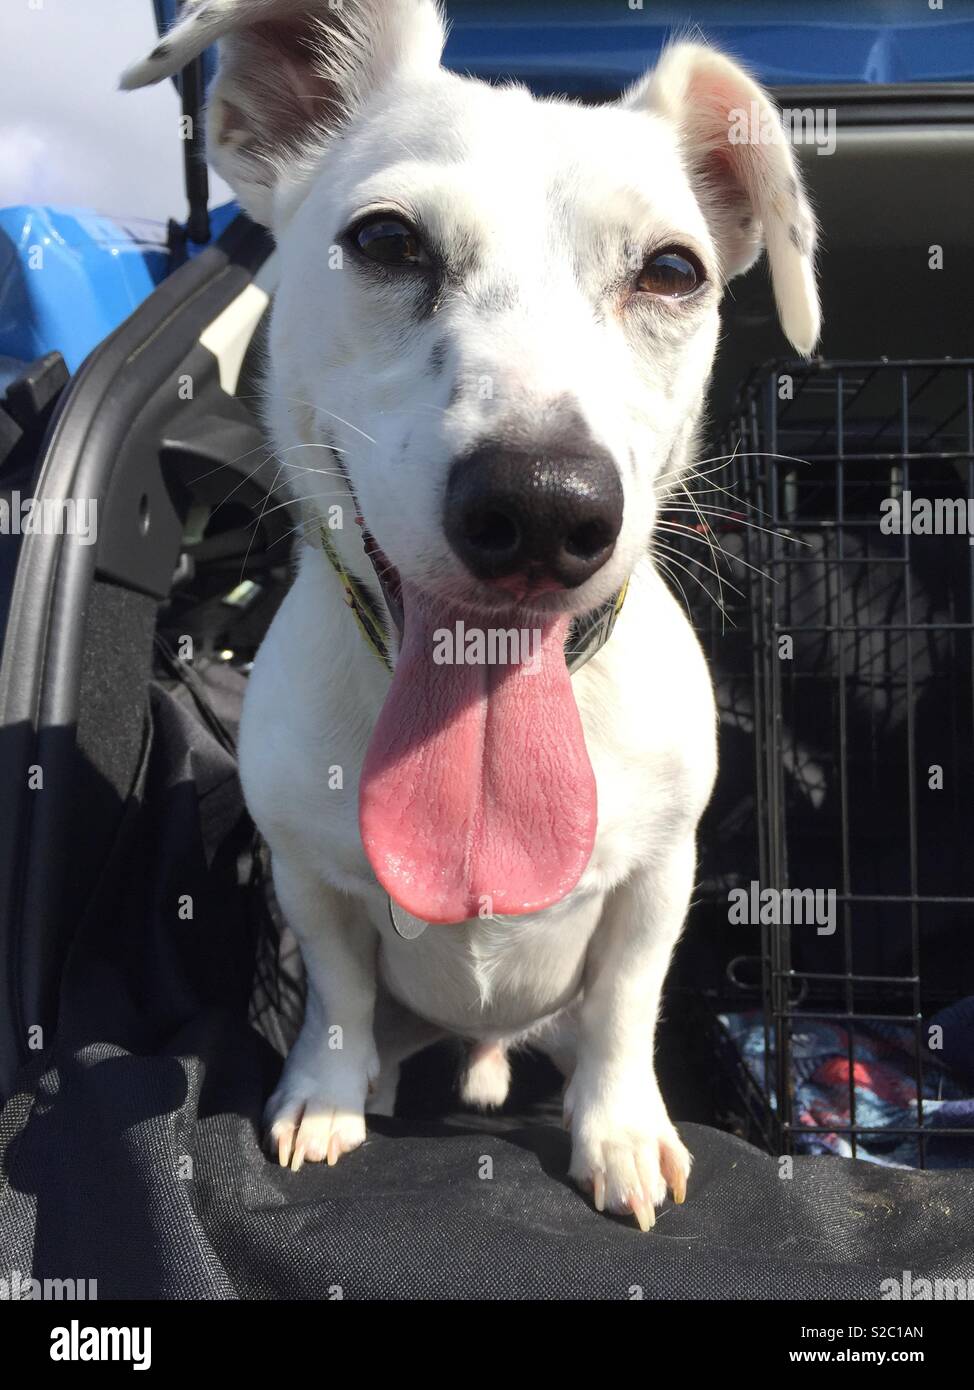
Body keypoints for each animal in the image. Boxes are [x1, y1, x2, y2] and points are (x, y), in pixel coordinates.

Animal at [125, 0, 816, 1228]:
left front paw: (619, 1128)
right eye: (387, 241)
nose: (542, 506)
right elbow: (338, 990)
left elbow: (627, 1005)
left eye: (673, 269)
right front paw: (324, 1093)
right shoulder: (306, 873)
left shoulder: (660, 877)